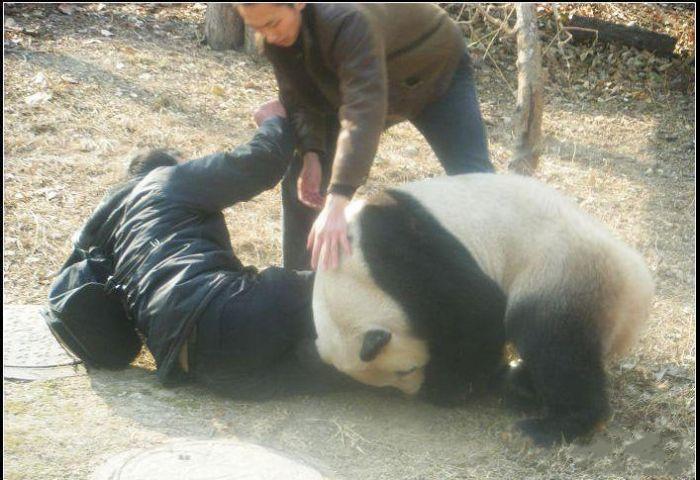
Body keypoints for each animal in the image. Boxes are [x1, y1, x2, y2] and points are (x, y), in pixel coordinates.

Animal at [312, 173, 654, 446]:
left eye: (404, 370)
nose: (416, 389)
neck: (346, 278)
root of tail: (638, 293)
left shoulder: (397, 251)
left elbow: (477, 311)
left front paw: (452, 386)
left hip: (563, 270)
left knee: (552, 343)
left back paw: (553, 424)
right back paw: (521, 386)